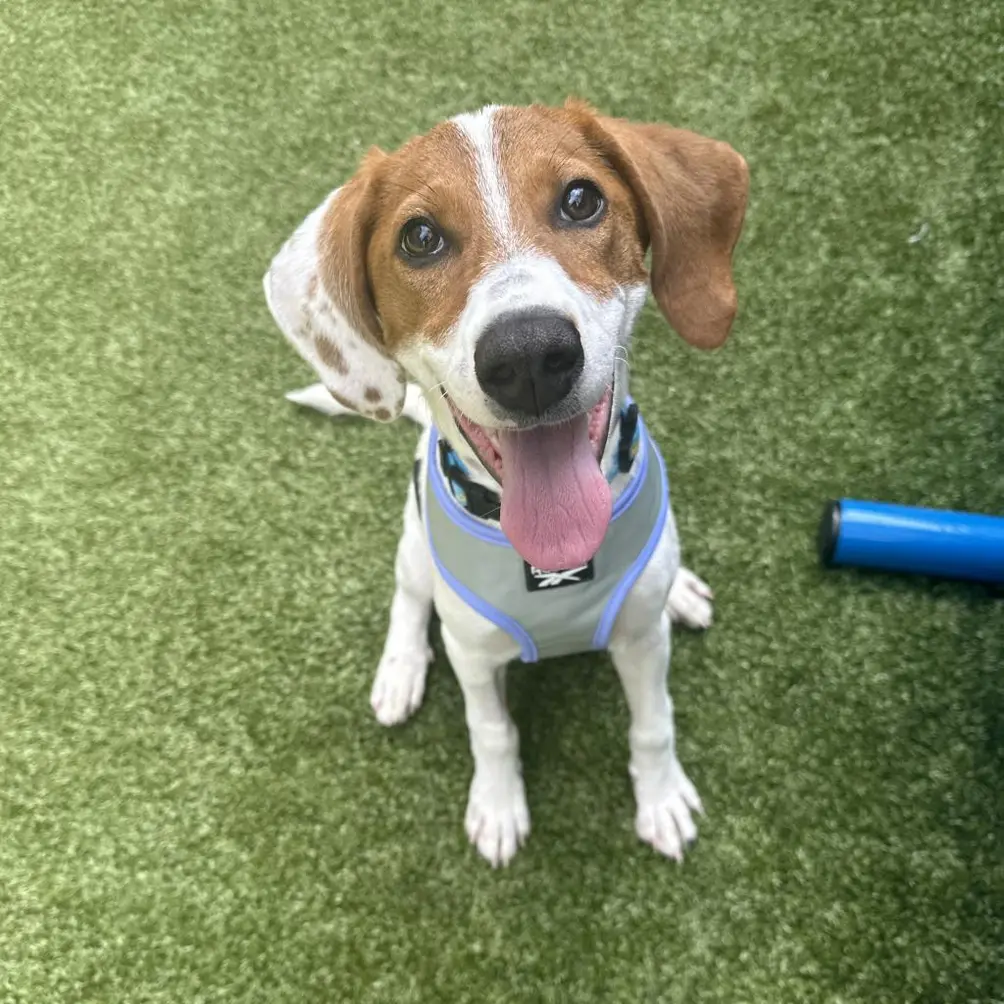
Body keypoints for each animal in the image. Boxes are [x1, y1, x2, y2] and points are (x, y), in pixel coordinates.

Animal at [263, 103, 750, 871]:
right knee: (408, 596)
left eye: (581, 200)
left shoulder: (642, 645)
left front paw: (661, 798)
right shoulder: (472, 656)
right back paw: (400, 668)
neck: (552, 566)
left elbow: (653, 724)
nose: (527, 357)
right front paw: (496, 806)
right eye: (420, 238)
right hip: (413, 548)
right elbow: (491, 731)